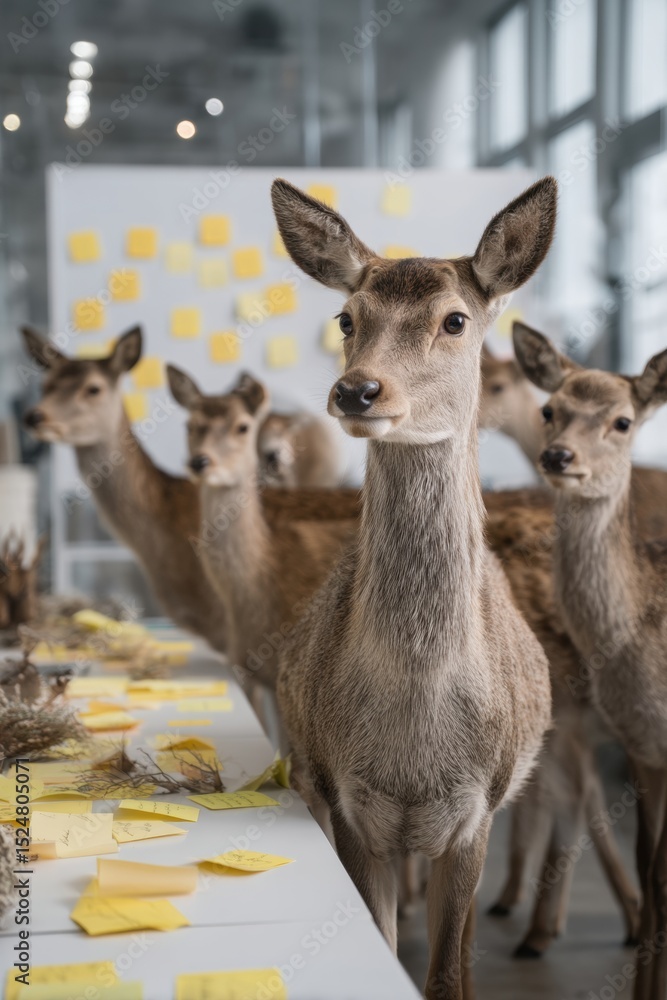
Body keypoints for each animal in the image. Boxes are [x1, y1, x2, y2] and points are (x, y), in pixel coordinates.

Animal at [270, 176, 558, 1000]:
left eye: (454, 319)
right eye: (347, 316)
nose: (358, 390)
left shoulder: (475, 811)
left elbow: (447, 974)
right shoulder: (349, 801)